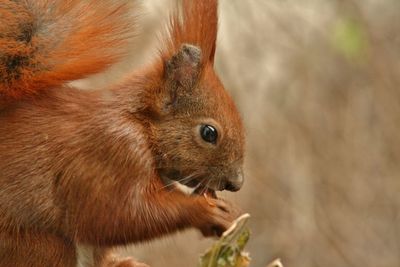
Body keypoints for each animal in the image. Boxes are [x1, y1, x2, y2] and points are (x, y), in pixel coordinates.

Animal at [0, 0, 244, 267]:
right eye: (209, 133)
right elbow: (118, 216)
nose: (236, 183)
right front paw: (204, 212)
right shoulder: (110, 153)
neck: (141, 125)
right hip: (40, 248)